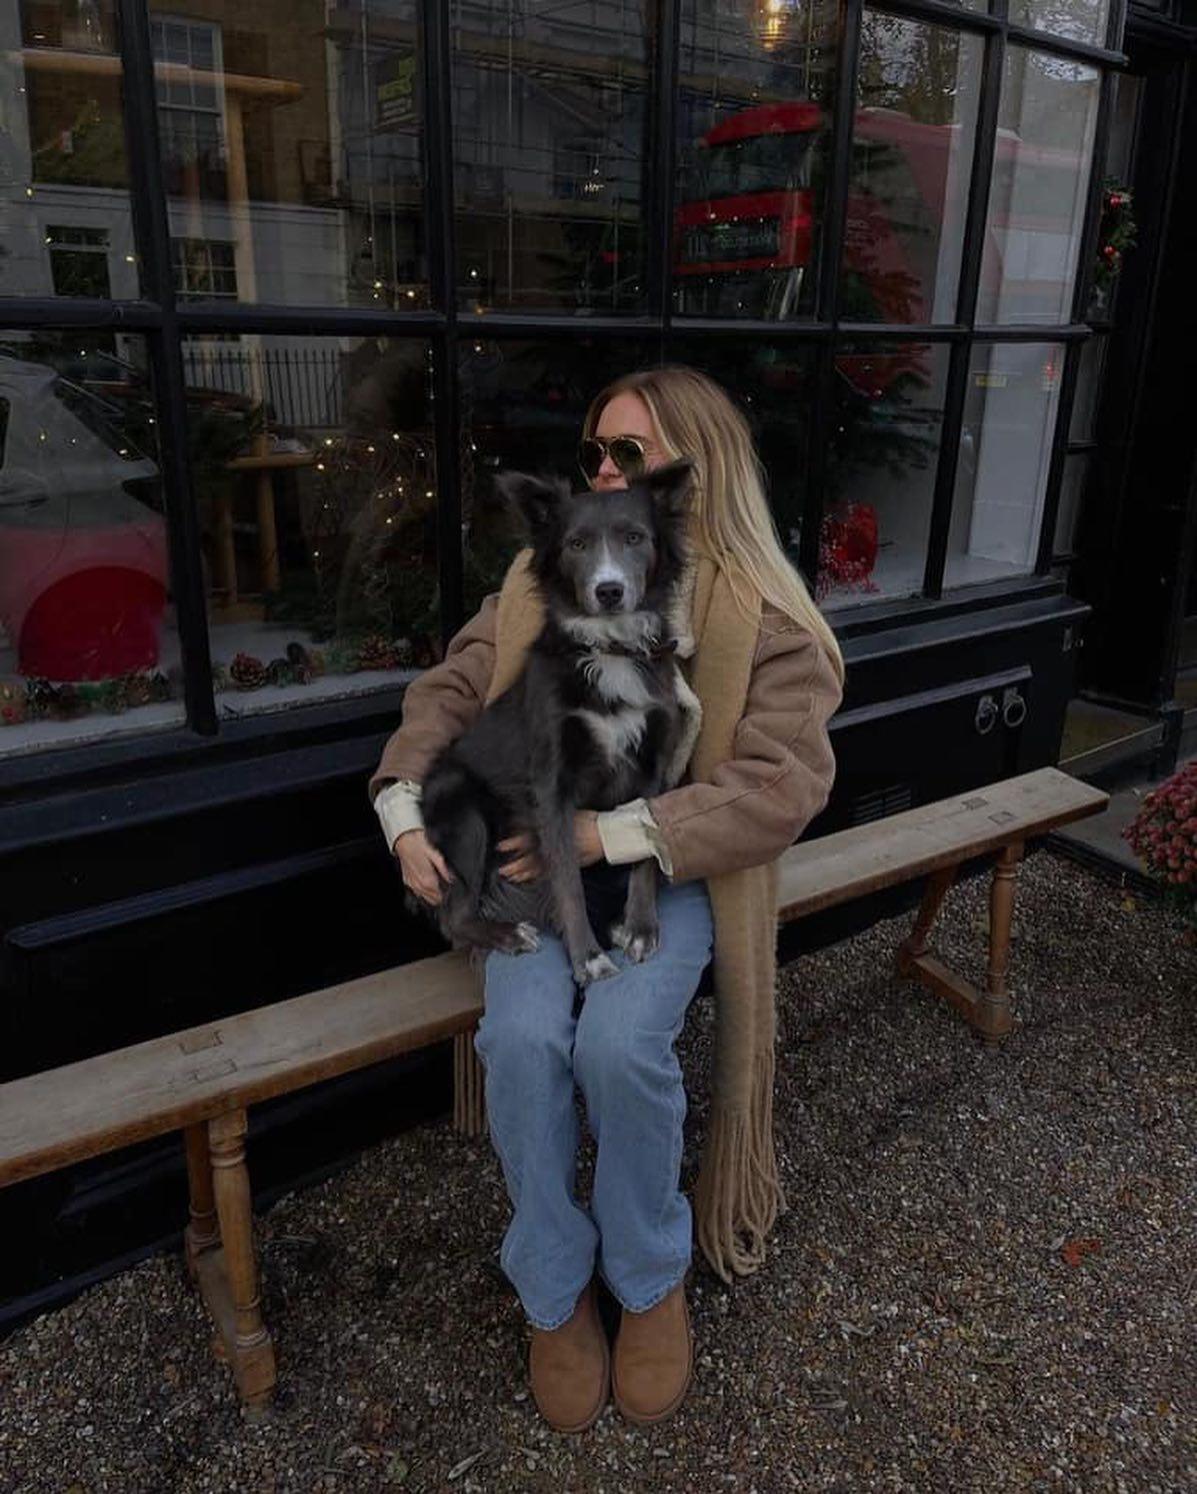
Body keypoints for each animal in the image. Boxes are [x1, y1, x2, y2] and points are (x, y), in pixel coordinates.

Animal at [416, 459, 700, 986]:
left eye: (635, 537)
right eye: (576, 544)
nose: (609, 591)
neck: (610, 650)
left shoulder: (653, 766)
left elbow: (644, 853)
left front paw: (640, 927)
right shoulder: (553, 783)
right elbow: (567, 877)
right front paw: (587, 957)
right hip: (465, 809)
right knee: (455, 916)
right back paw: (508, 933)